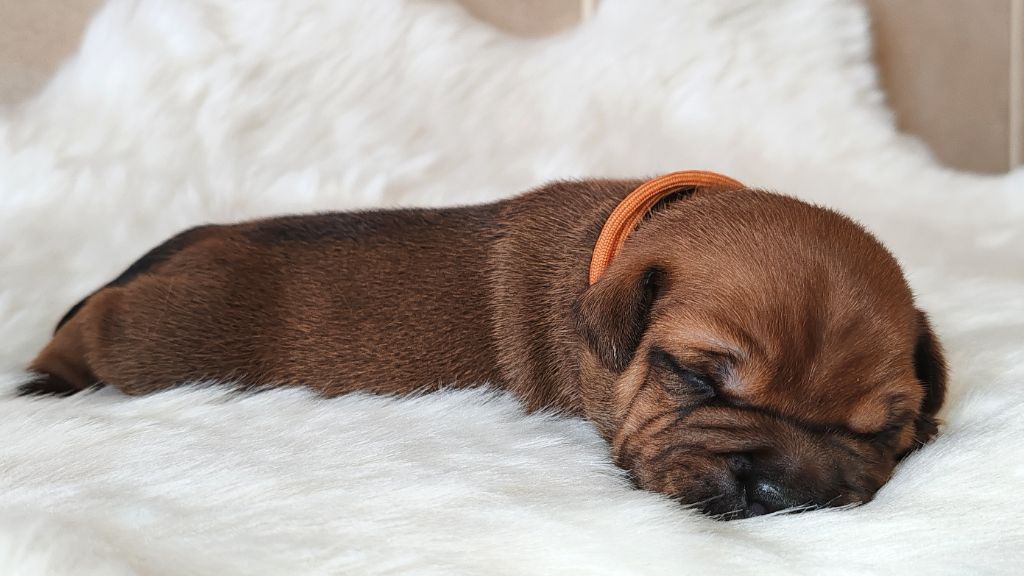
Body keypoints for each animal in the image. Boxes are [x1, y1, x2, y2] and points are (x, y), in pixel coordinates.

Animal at [22, 171, 946, 519]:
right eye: (695, 377)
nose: (785, 494)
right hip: (150, 340)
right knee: (88, 333)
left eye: (882, 429)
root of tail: (182, 245)